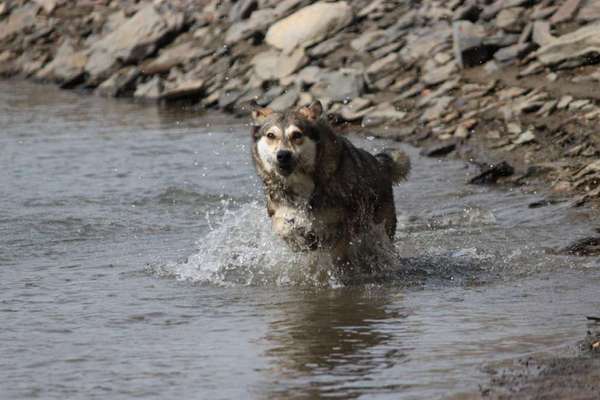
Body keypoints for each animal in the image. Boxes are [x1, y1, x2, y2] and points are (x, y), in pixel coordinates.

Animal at [251, 101, 410, 274]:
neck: (300, 181)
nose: (283, 155)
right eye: (271, 135)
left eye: (297, 135)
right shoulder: (281, 212)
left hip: (380, 227)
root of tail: (381, 164)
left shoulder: (341, 223)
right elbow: (285, 227)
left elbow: (337, 248)